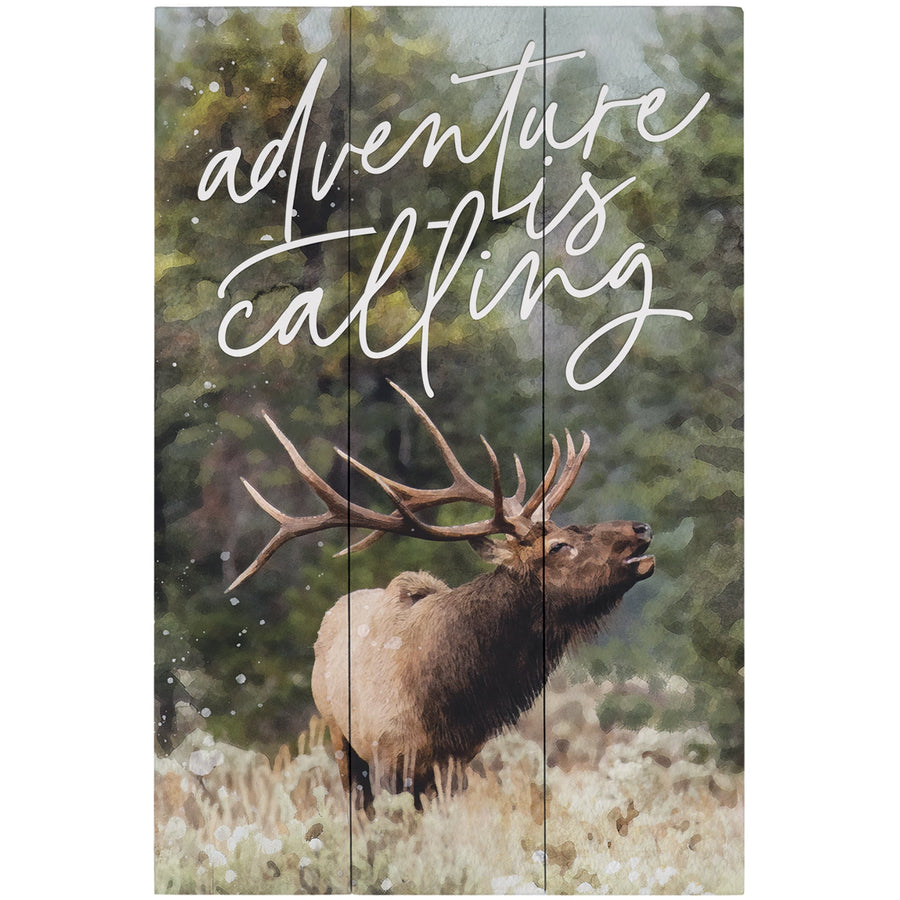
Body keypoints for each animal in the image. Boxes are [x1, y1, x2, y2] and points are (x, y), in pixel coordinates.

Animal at [227, 382, 655, 816]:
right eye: (558, 546)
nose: (641, 528)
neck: (444, 701)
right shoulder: (386, 753)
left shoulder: (456, 760)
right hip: (337, 733)